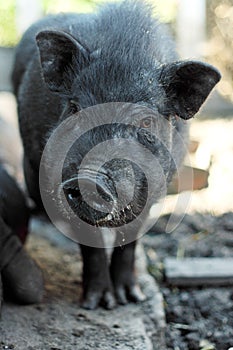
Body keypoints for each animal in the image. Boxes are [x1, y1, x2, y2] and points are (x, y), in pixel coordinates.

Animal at [12, 0, 220, 308]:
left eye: (145, 122)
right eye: (74, 108)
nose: (89, 178)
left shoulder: (156, 188)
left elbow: (130, 241)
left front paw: (131, 298)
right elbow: (91, 244)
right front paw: (98, 304)